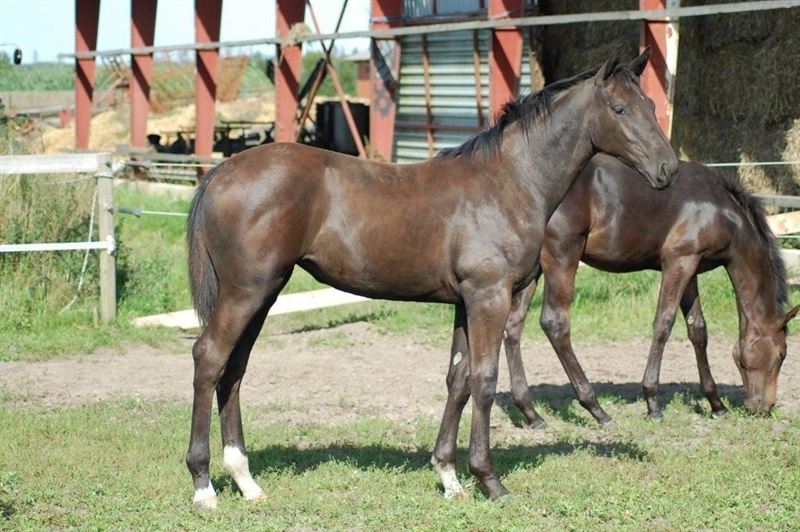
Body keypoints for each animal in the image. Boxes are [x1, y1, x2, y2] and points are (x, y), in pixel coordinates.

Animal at [185, 49, 678, 506]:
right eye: (619, 109)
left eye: (651, 104)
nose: (668, 170)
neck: (509, 182)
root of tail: (221, 171)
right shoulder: (489, 297)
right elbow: (484, 379)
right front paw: (489, 480)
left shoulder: (464, 302)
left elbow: (457, 381)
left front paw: (449, 476)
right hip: (246, 292)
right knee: (210, 358)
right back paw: (204, 485)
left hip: (264, 294)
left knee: (234, 369)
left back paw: (246, 481)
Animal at [489, 154, 799, 429]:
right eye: (782, 353)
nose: (763, 407)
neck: (721, 210)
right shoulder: (678, 262)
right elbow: (664, 324)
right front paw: (652, 403)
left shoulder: (690, 268)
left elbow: (698, 330)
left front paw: (716, 403)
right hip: (561, 257)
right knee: (554, 324)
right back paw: (596, 409)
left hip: (533, 270)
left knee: (513, 327)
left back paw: (531, 413)